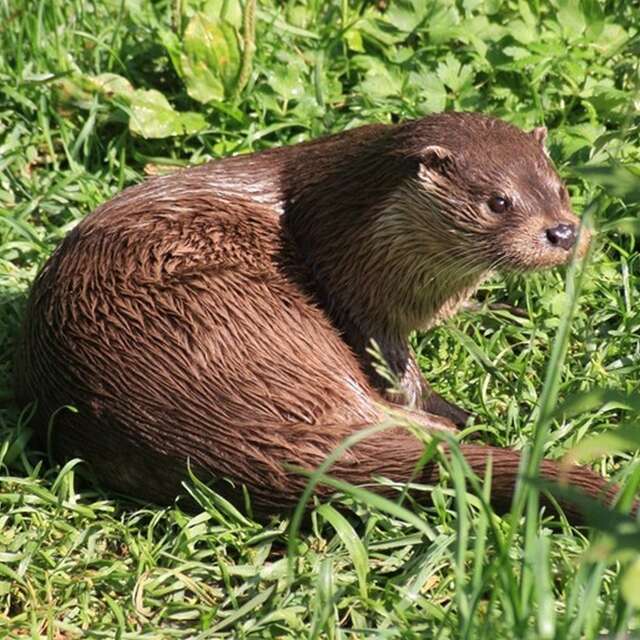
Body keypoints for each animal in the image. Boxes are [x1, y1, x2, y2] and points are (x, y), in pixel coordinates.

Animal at [15, 112, 624, 524]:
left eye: (561, 187)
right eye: (497, 202)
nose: (563, 231)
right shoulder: (356, 298)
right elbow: (400, 373)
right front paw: (453, 403)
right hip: (242, 314)